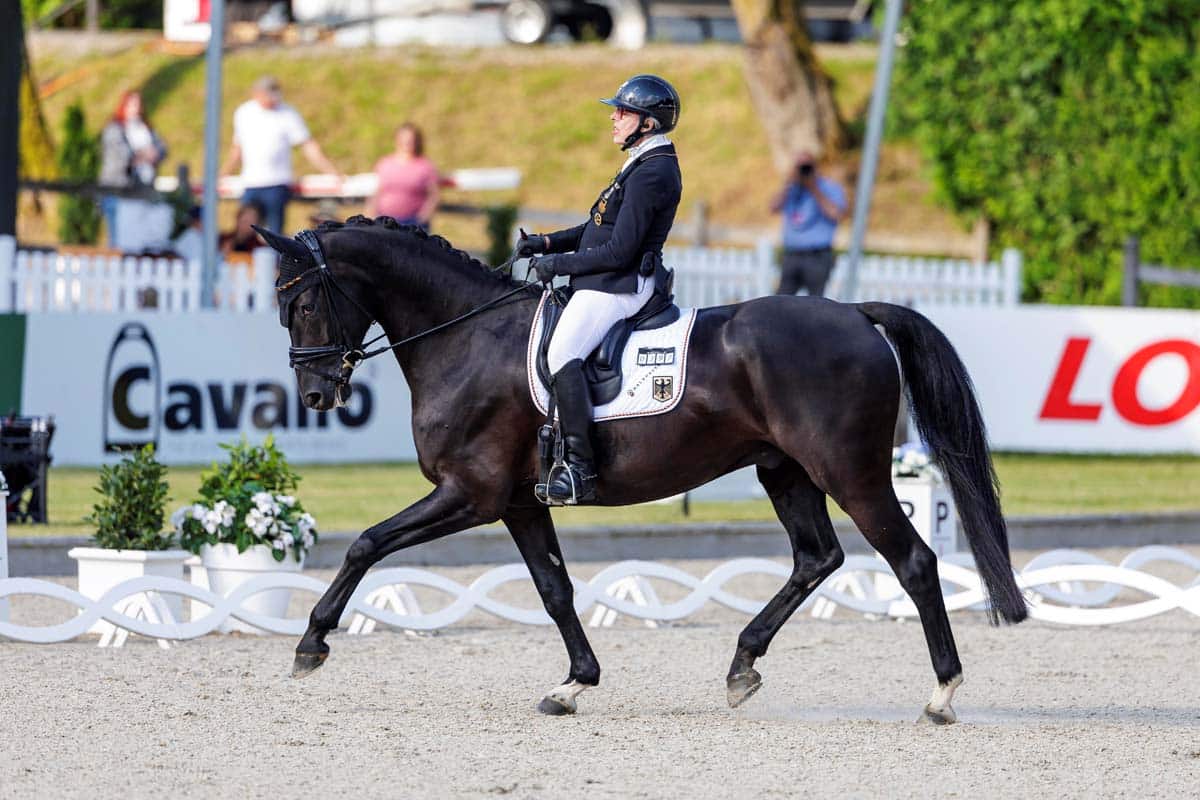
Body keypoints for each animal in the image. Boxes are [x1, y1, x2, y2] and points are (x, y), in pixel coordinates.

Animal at [258, 215, 1027, 724]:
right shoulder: (519, 502)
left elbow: (366, 544)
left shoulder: (469, 494)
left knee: (913, 561)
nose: (316, 396)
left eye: (302, 303)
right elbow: (554, 590)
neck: (467, 336)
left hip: (851, 473)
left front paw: (311, 643)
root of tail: (855, 315)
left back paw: (942, 693)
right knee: (817, 558)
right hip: (784, 471)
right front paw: (574, 683)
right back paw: (742, 666)